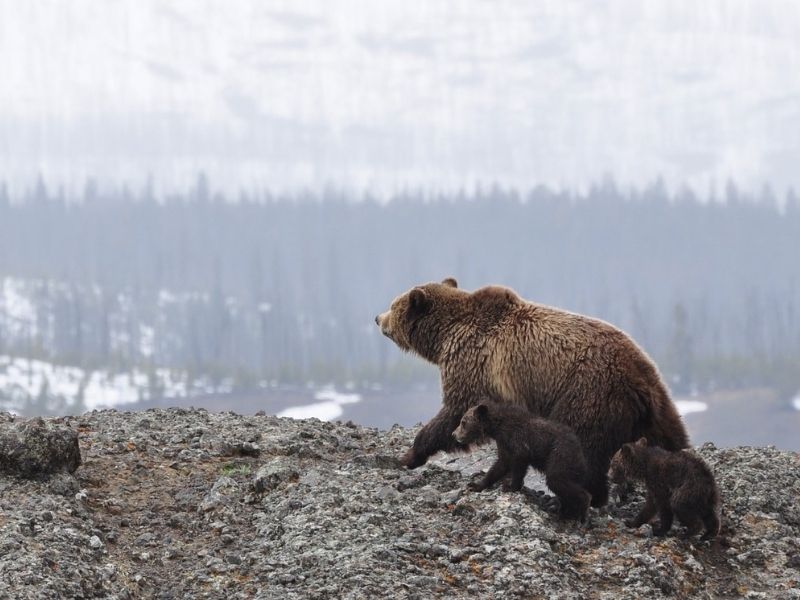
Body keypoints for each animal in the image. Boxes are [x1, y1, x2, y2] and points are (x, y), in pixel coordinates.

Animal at [378, 278, 692, 506]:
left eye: (394, 304)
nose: (377, 318)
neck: (445, 336)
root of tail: (639, 380)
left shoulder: (473, 362)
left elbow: (454, 411)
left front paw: (410, 454)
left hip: (588, 394)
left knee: (585, 449)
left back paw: (583, 497)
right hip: (657, 406)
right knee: (672, 440)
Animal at [454, 400, 592, 524]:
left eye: (463, 422)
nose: (454, 434)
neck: (497, 427)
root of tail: (581, 452)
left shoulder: (518, 441)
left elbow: (518, 464)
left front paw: (510, 486)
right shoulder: (503, 443)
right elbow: (500, 465)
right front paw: (475, 485)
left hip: (560, 455)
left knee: (557, 480)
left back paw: (581, 513)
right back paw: (565, 512)